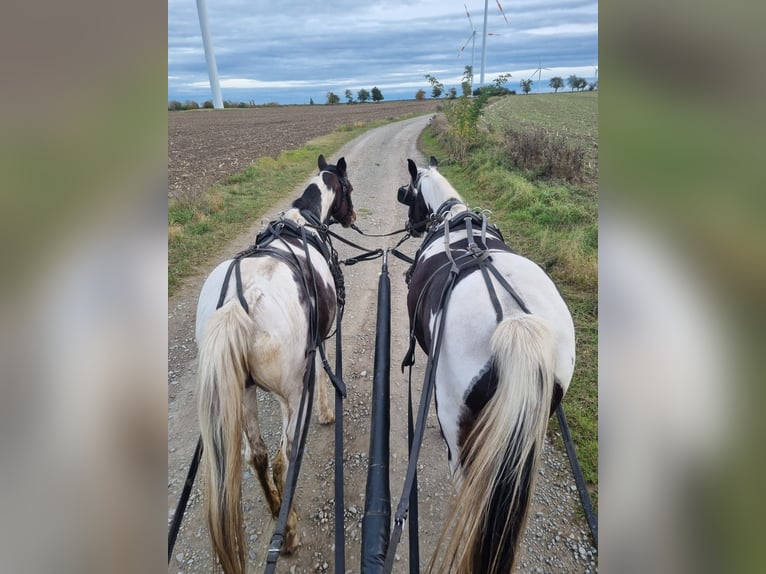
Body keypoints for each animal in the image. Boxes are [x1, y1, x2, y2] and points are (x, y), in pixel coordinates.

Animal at [195, 155, 356, 572]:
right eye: (349, 188)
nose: (352, 216)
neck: (304, 223)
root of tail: (241, 300)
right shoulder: (319, 344)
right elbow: (324, 373)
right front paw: (327, 413)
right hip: (291, 393)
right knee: (283, 460)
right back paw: (291, 529)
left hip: (244, 392)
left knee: (257, 456)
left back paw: (275, 511)